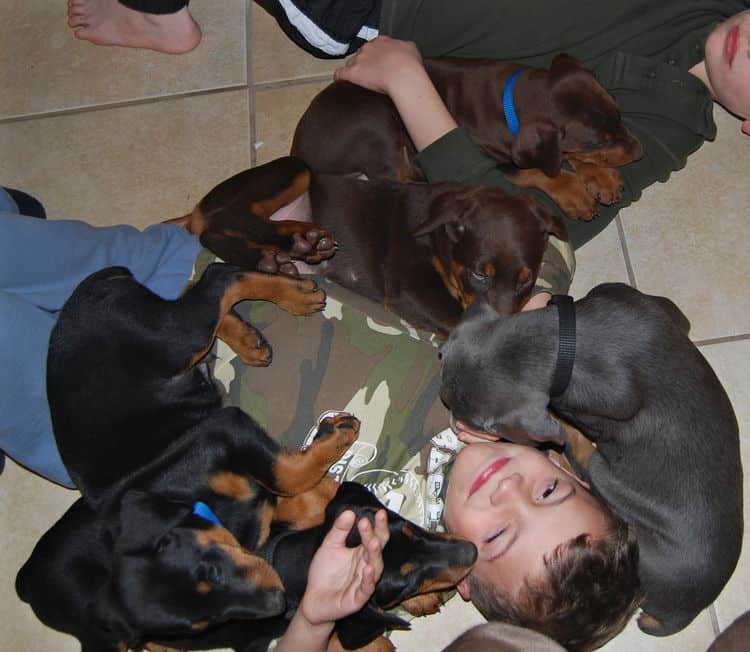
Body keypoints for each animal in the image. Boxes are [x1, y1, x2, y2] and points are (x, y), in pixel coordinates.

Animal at [290, 54, 644, 222]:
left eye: (619, 115)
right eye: (599, 141)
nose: (640, 152)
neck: (510, 99)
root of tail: (299, 153)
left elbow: (564, 155)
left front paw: (601, 178)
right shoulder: (495, 158)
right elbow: (538, 170)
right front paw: (574, 191)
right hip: (373, 124)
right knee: (398, 181)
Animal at [440, 282, 748, 636]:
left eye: (478, 422)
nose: (454, 424)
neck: (563, 343)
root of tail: (686, 611)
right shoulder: (654, 306)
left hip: (605, 474)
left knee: (586, 459)